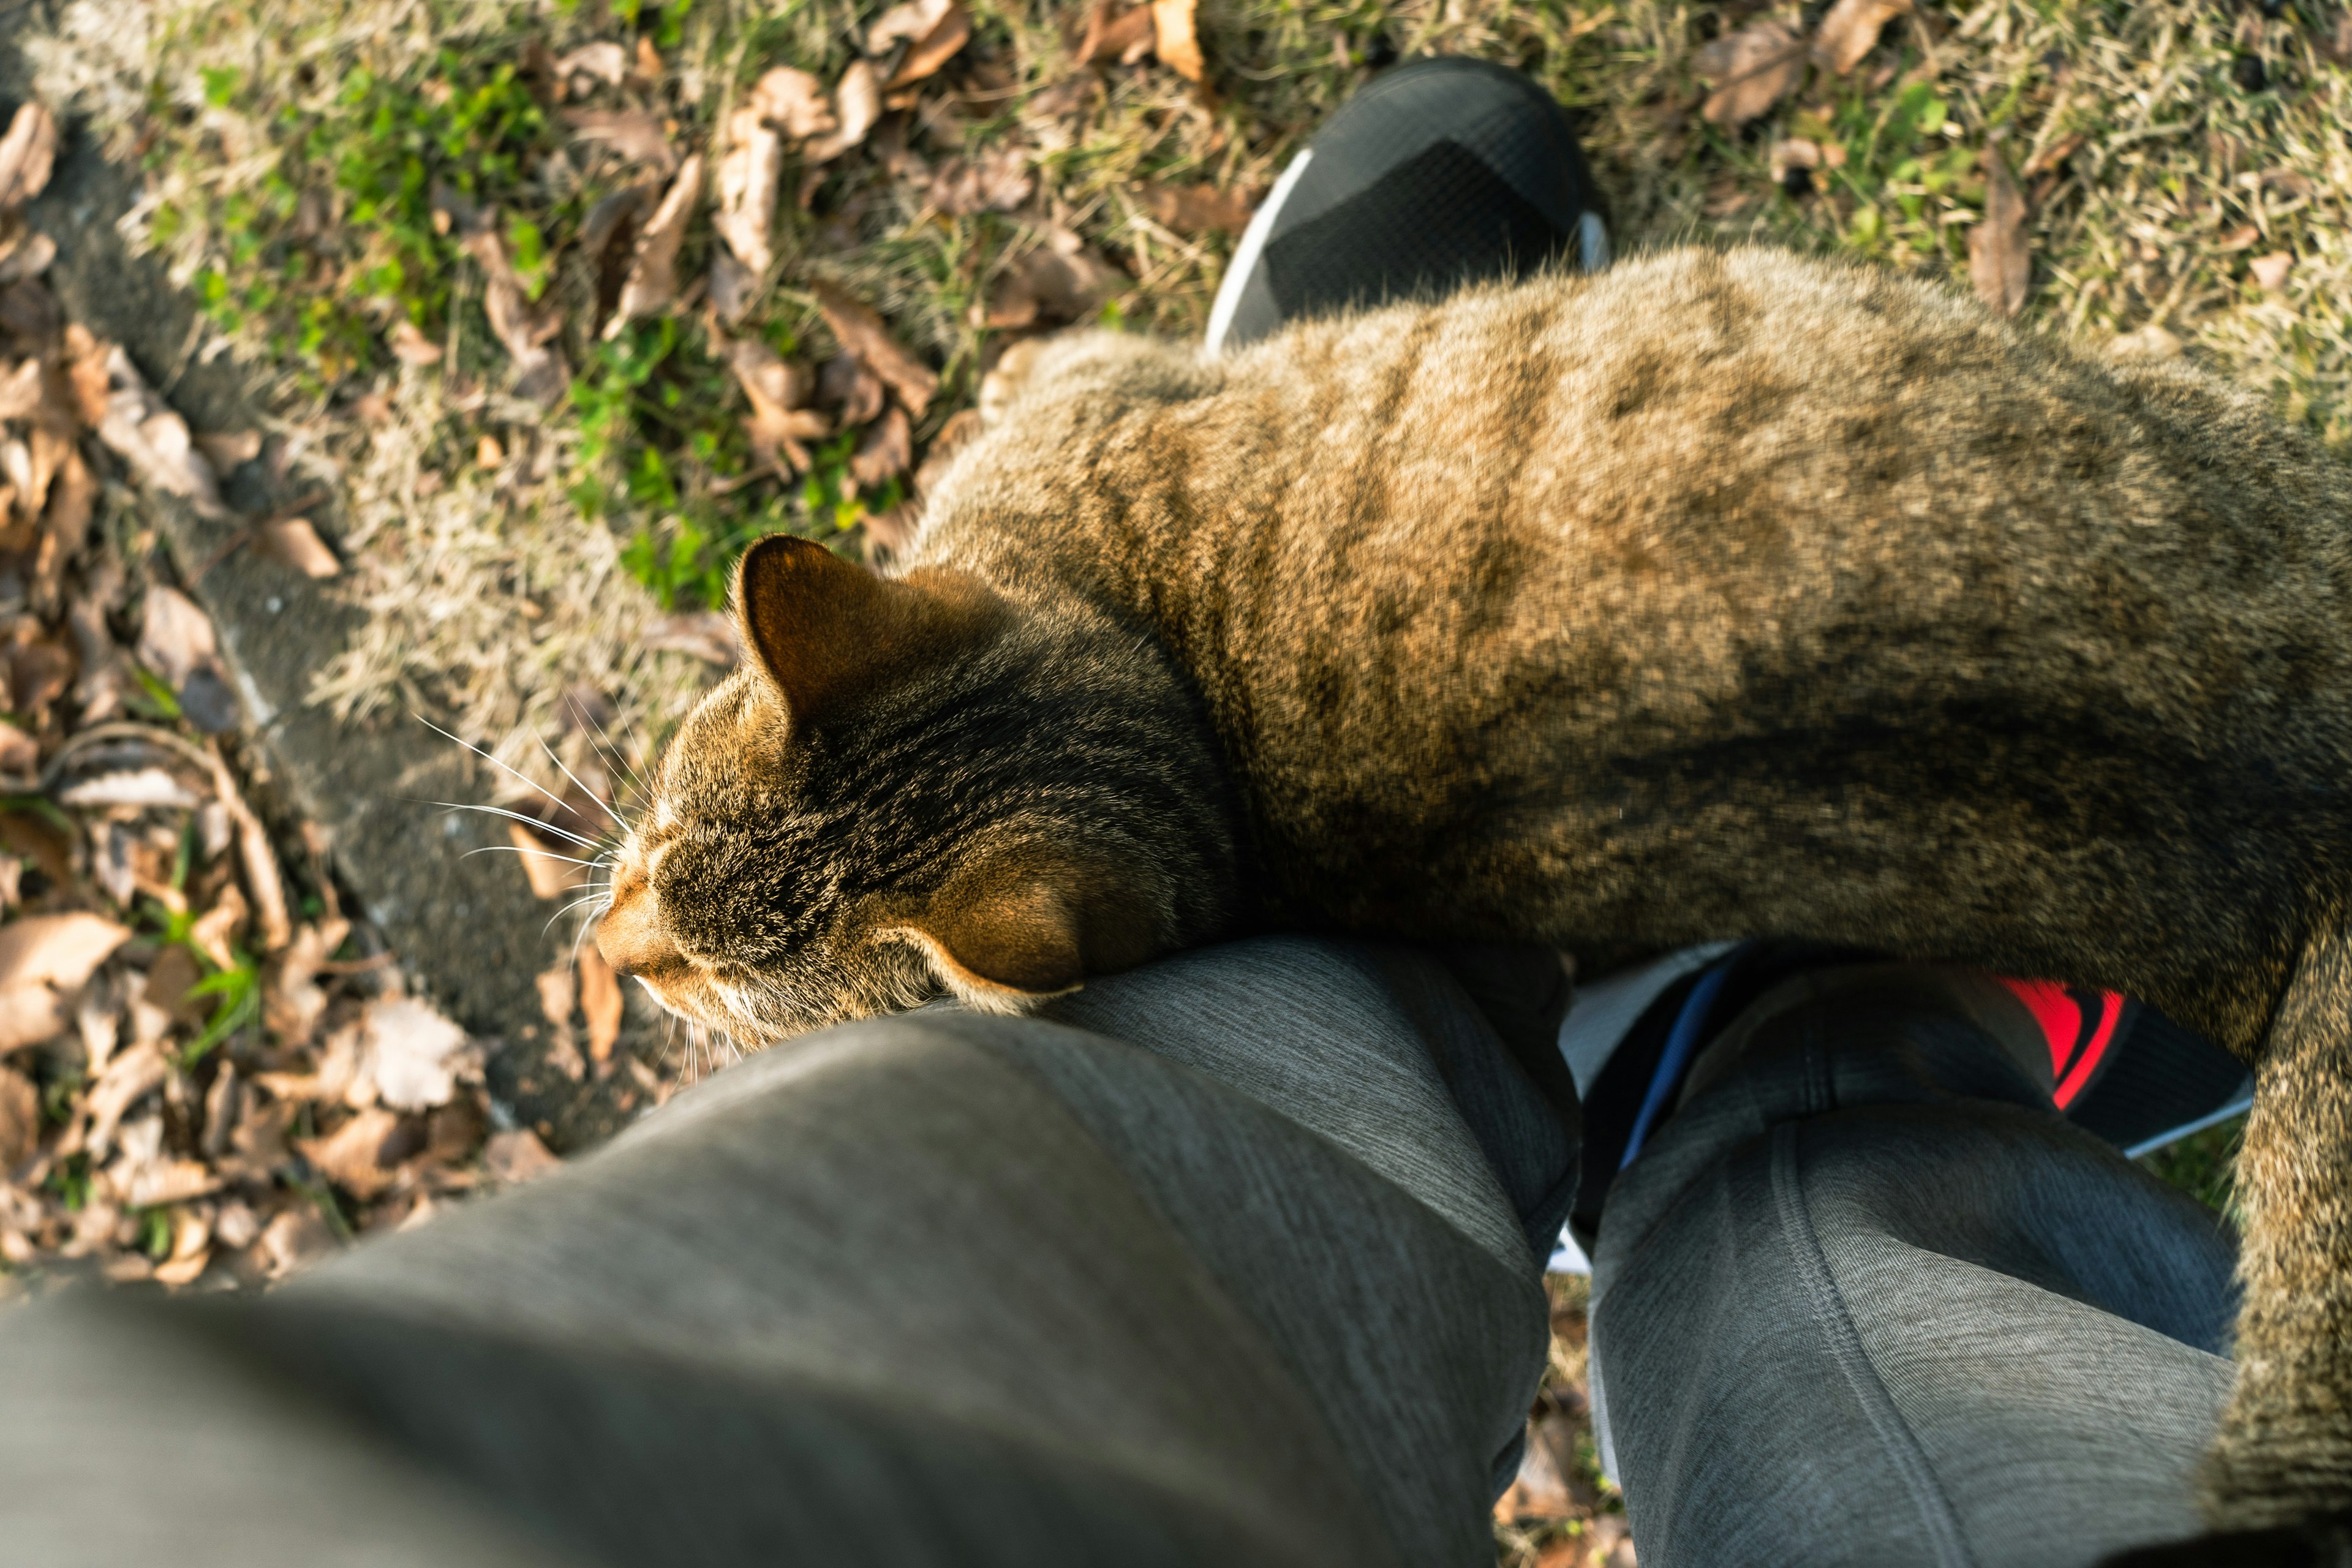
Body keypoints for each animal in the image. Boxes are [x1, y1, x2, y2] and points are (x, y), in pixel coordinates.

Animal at [602, 251, 2352, 1551]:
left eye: (705, 964)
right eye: (652, 864)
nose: (612, 955)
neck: (1190, 712)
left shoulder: (1097, 385)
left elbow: (1055, 364)